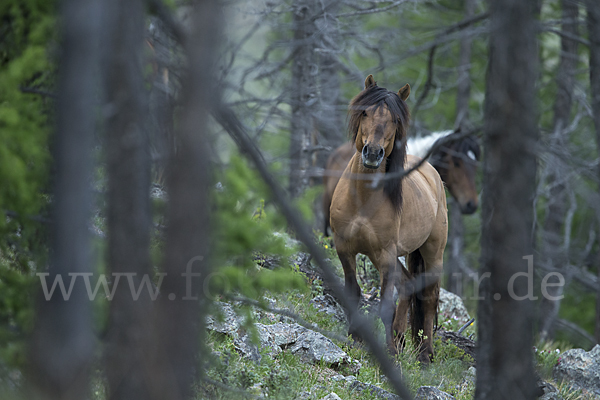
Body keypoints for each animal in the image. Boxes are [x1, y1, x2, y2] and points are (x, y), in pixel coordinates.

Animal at [330, 75, 448, 362]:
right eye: (365, 112)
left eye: (395, 119)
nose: (373, 153)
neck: (362, 200)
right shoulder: (345, 248)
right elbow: (353, 293)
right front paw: (355, 337)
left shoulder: (385, 255)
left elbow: (385, 305)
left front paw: (389, 352)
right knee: (407, 284)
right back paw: (400, 337)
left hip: (432, 252)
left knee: (429, 297)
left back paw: (425, 354)